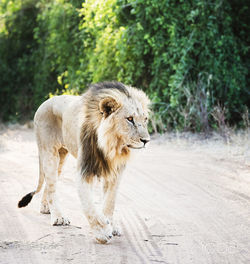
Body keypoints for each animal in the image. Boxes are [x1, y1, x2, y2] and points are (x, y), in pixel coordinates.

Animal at [18, 80, 150, 243]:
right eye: (130, 119)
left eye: (145, 119)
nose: (146, 140)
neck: (111, 146)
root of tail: (44, 103)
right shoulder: (85, 170)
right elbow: (89, 205)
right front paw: (102, 232)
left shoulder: (115, 172)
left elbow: (109, 202)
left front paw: (111, 225)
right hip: (49, 153)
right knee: (52, 186)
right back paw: (58, 217)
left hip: (61, 157)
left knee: (49, 184)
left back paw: (45, 208)